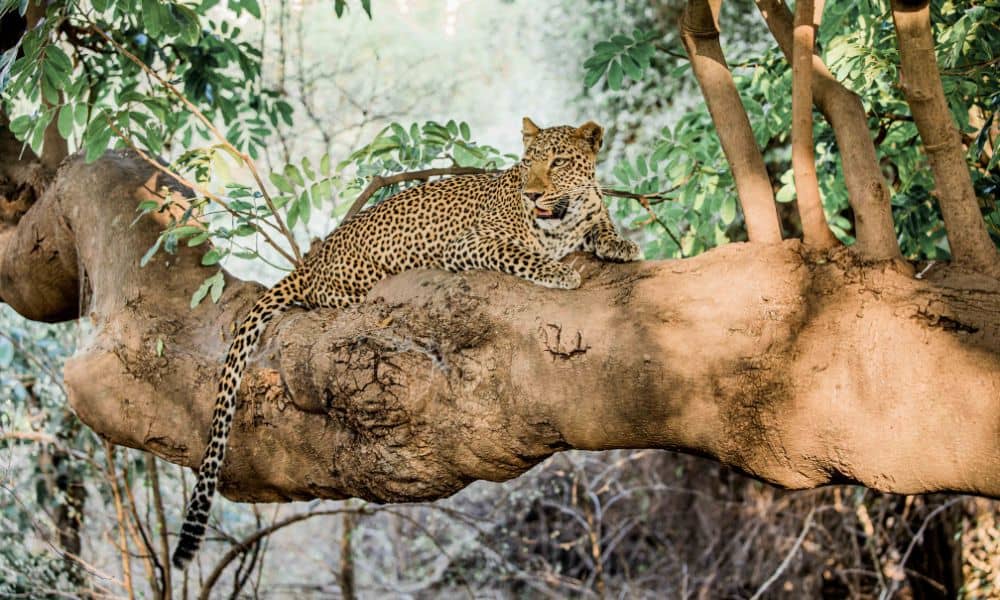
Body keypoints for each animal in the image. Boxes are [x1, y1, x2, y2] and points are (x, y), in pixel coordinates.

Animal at [172, 116, 640, 568]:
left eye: (558, 162)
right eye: (528, 163)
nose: (532, 193)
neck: (564, 217)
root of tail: (313, 260)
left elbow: (601, 224)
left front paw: (621, 243)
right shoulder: (470, 244)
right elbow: (522, 254)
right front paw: (560, 271)